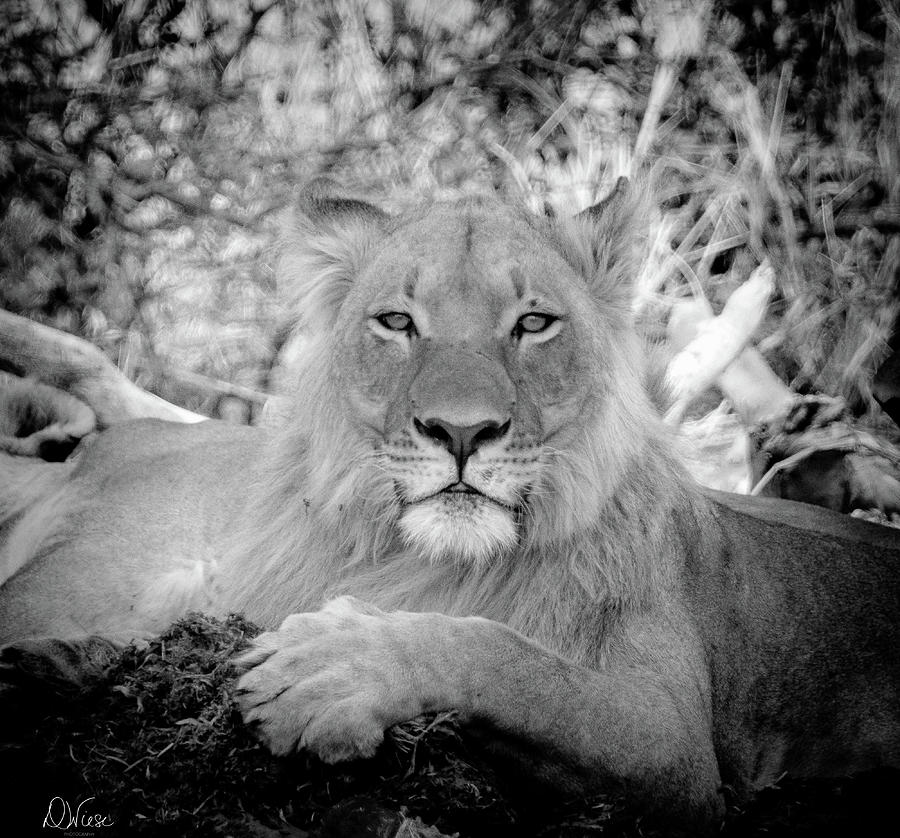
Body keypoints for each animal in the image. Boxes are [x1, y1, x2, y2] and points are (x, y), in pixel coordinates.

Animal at [0, 185, 896, 832]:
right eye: (398, 322)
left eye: (533, 323)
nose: (461, 432)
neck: (424, 559)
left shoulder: (676, 744)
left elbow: (518, 665)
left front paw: (333, 670)